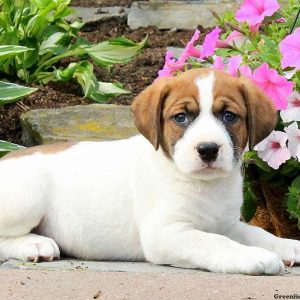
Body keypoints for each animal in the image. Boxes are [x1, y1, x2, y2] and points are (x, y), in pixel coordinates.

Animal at [0, 68, 300, 274]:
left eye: (229, 116)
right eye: (181, 117)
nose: (208, 149)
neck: (206, 185)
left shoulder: (226, 224)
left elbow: (258, 234)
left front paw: (289, 245)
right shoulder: (167, 233)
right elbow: (215, 243)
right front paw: (255, 257)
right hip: (27, 197)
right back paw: (36, 244)